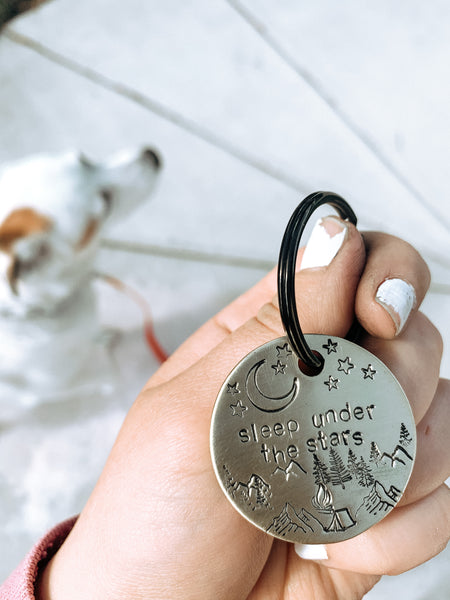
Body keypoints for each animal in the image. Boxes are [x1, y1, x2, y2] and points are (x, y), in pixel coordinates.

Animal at [0, 147, 160, 410]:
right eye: (105, 201)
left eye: (85, 159)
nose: (152, 154)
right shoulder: (50, 387)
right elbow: (102, 379)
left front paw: (103, 335)